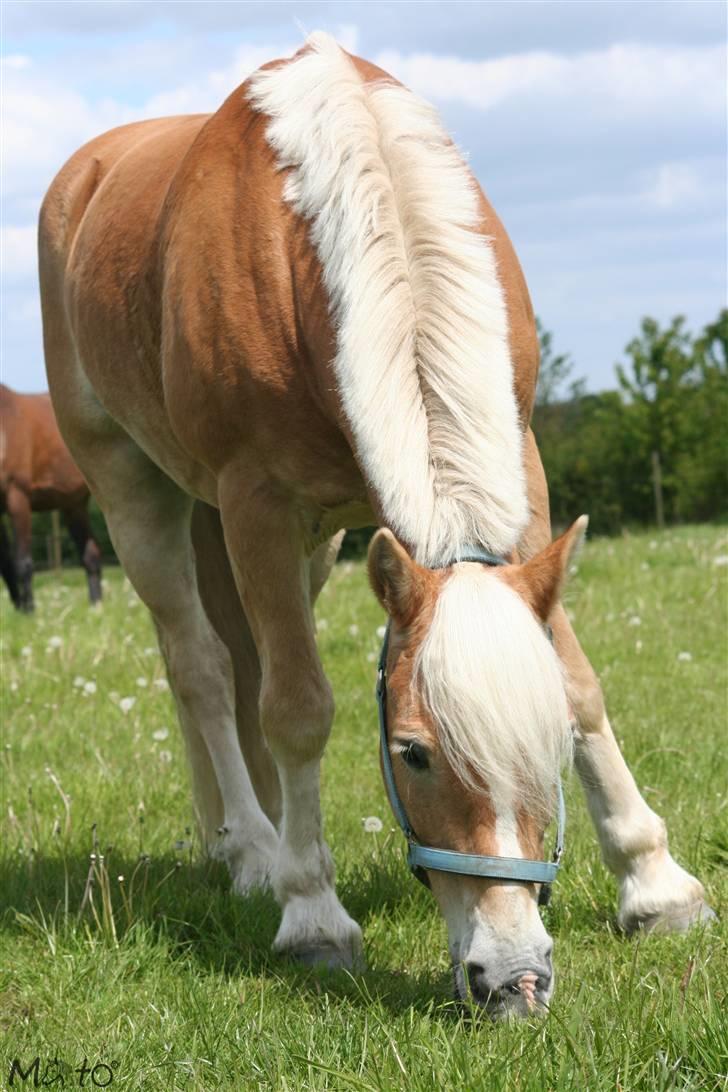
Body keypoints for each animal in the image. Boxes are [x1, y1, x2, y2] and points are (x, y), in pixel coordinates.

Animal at [0, 380, 102, 611]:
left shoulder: (18, 497)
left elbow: (22, 562)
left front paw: (29, 611)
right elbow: (6, 566)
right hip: (74, 505)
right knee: (91, 554)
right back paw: (97, 607)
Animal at [37, 34, 715, 1017]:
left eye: (546, 745)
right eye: (413, 754)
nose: (515, 978)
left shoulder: (522, 464)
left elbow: (580, 683)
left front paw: (655, 884)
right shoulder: (257, 503)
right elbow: (298, 710)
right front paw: (313, 917)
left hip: (298, 545)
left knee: (233, 660)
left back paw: (240, 837)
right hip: (136, 495)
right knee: (201, 666)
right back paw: (253, 849)